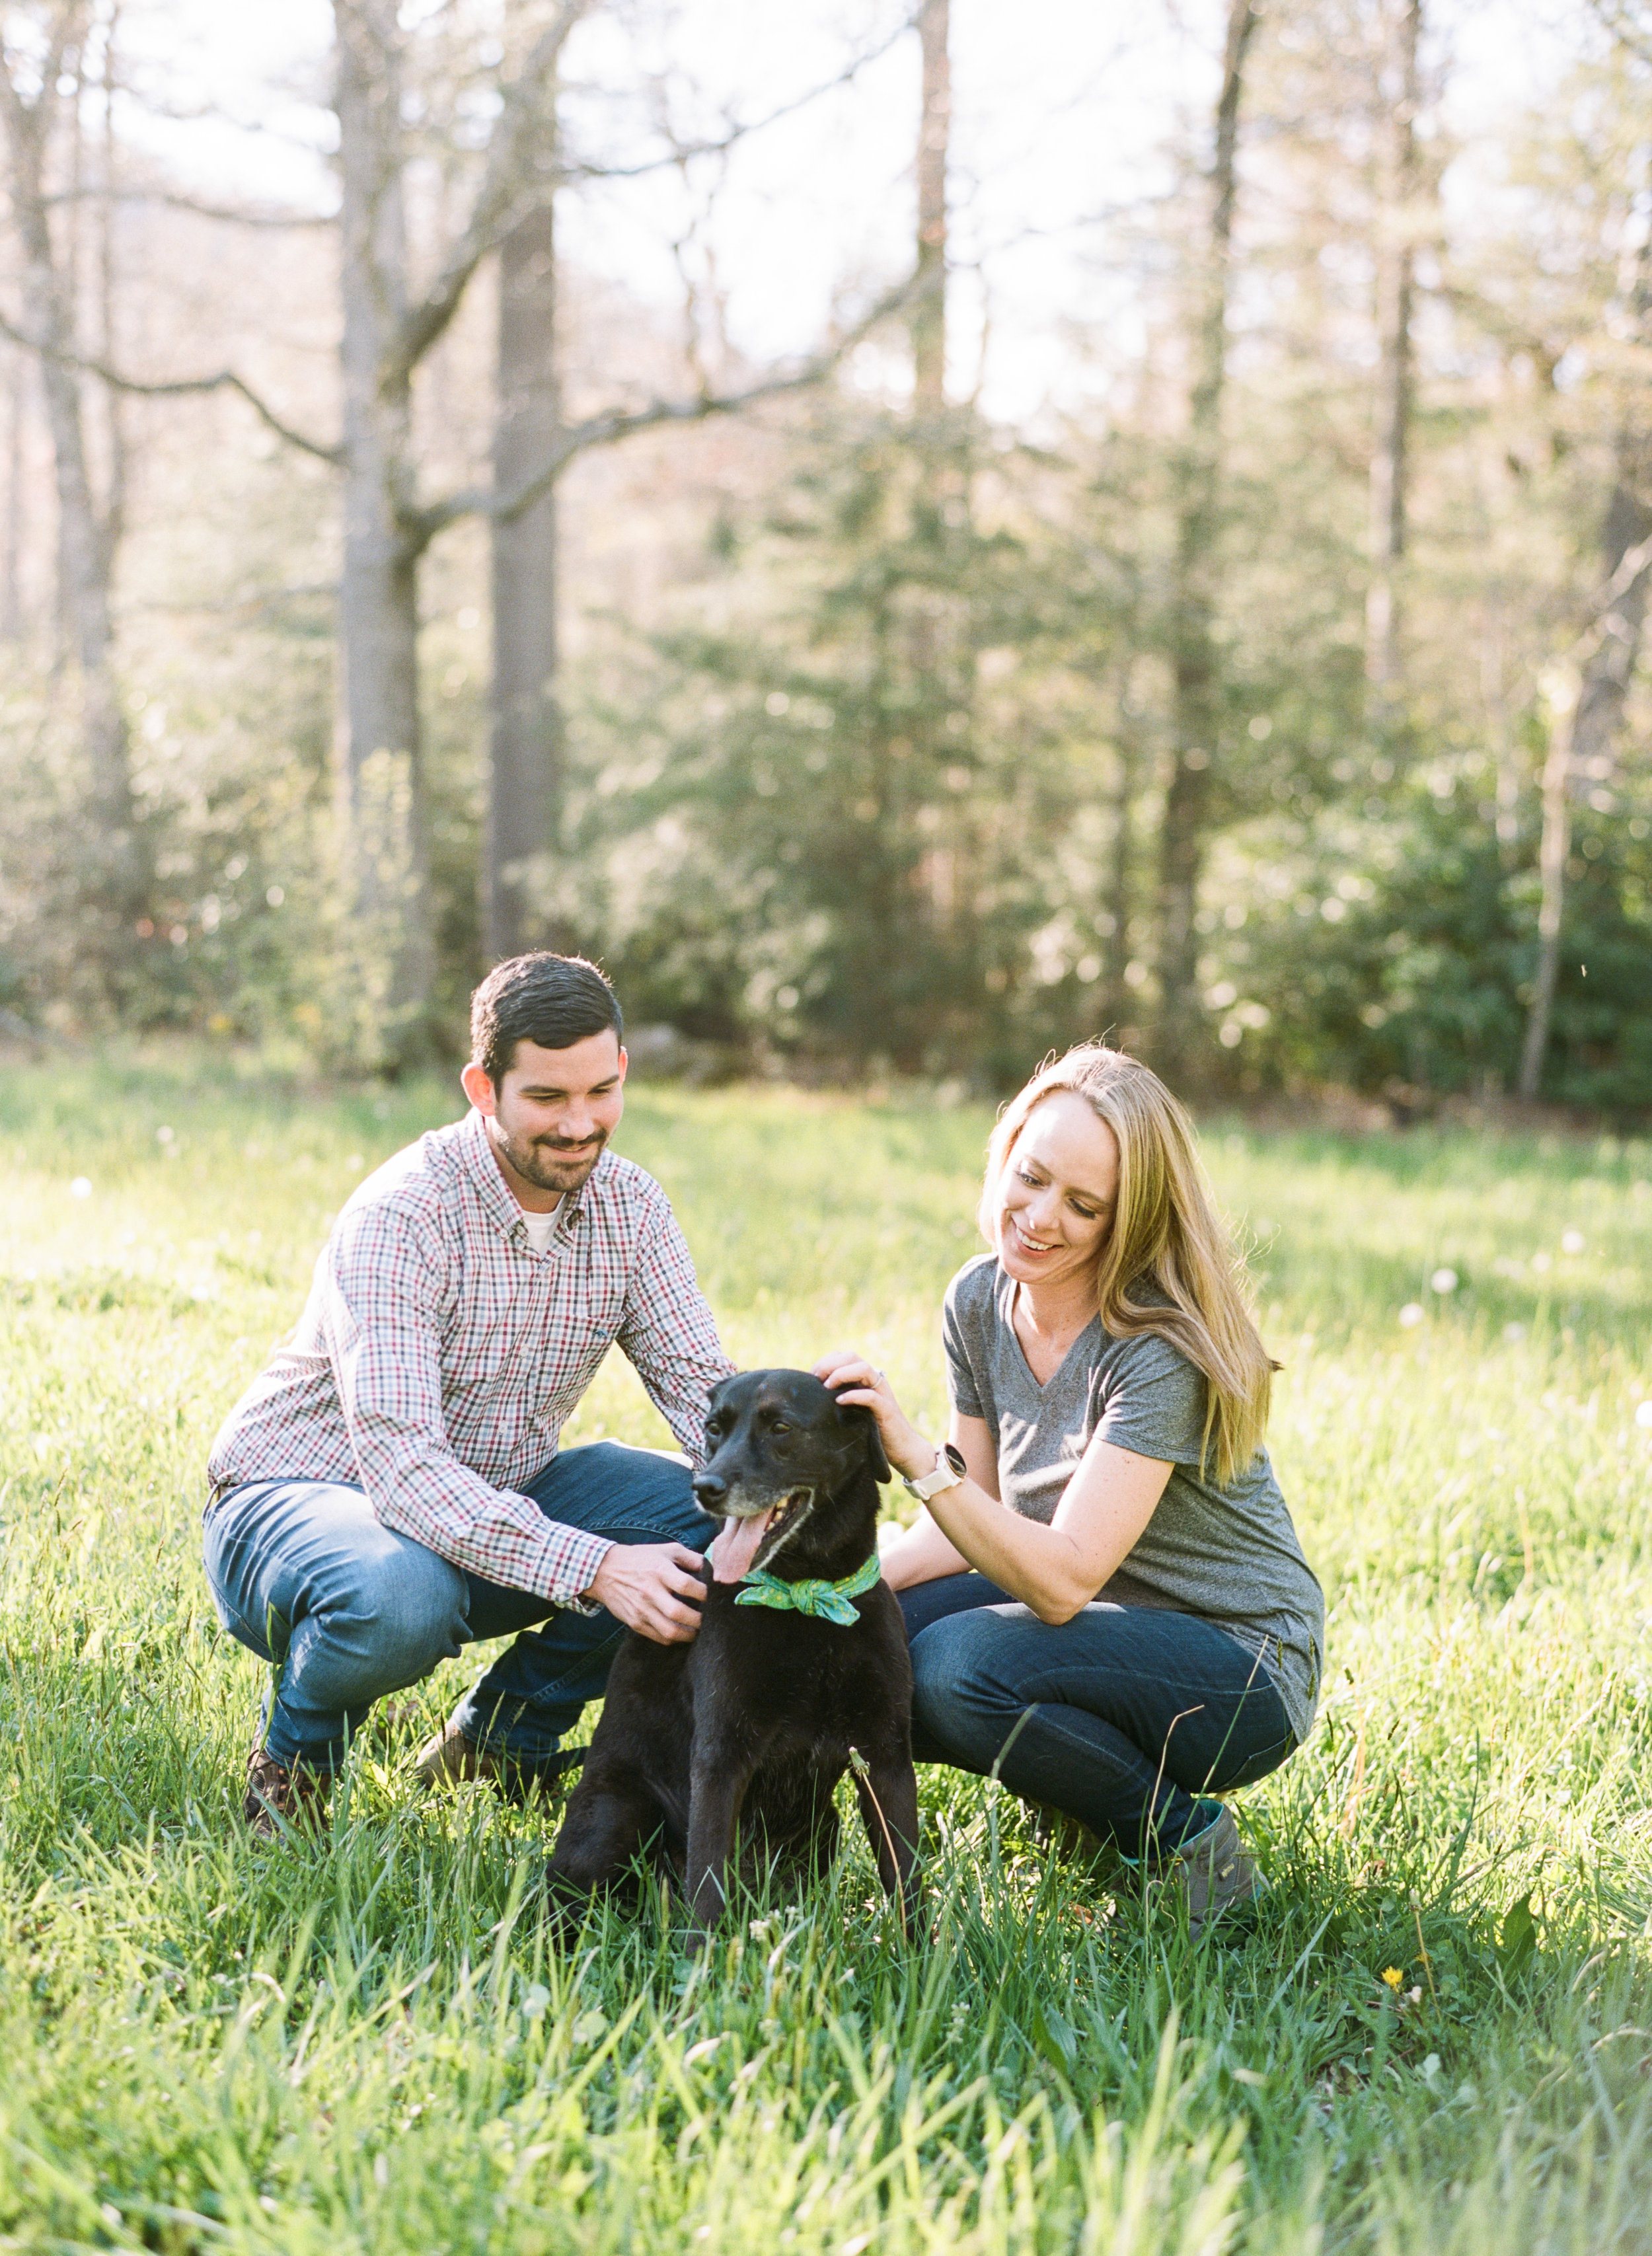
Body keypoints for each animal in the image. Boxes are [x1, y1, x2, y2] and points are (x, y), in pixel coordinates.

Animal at [548, 1363, 920, 1949]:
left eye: (781, 1428)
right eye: (713, 1429)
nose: (705, 1488)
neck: (805, 1599)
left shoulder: (886, 1753)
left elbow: (906, 1873)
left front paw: (923, 1958)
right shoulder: (721, 1755)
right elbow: (706, 1881)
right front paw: (701, 1965)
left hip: (824, 1825)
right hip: (615, 1812)